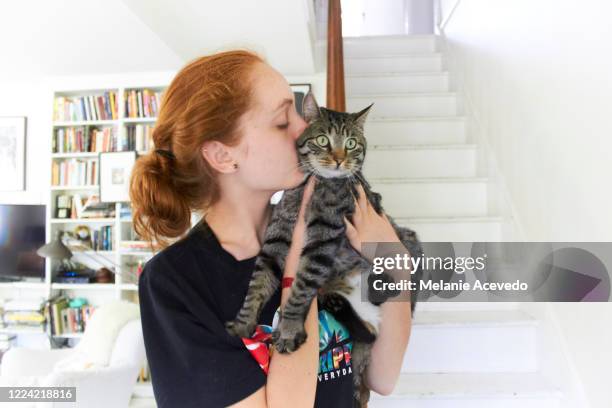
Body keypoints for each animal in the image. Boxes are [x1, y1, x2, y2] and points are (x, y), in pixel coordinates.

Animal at [227, 91, 424, 406]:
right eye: (322, 140)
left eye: (351, 143)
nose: (339, 160)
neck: (312, 186)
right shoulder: (275, 240)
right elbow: (256, 286)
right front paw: (243, 324)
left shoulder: (323, 238)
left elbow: (299, 289)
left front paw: (288, 330)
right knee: (366, 330)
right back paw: (338, 301)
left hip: (408, 244)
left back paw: (380, 284)